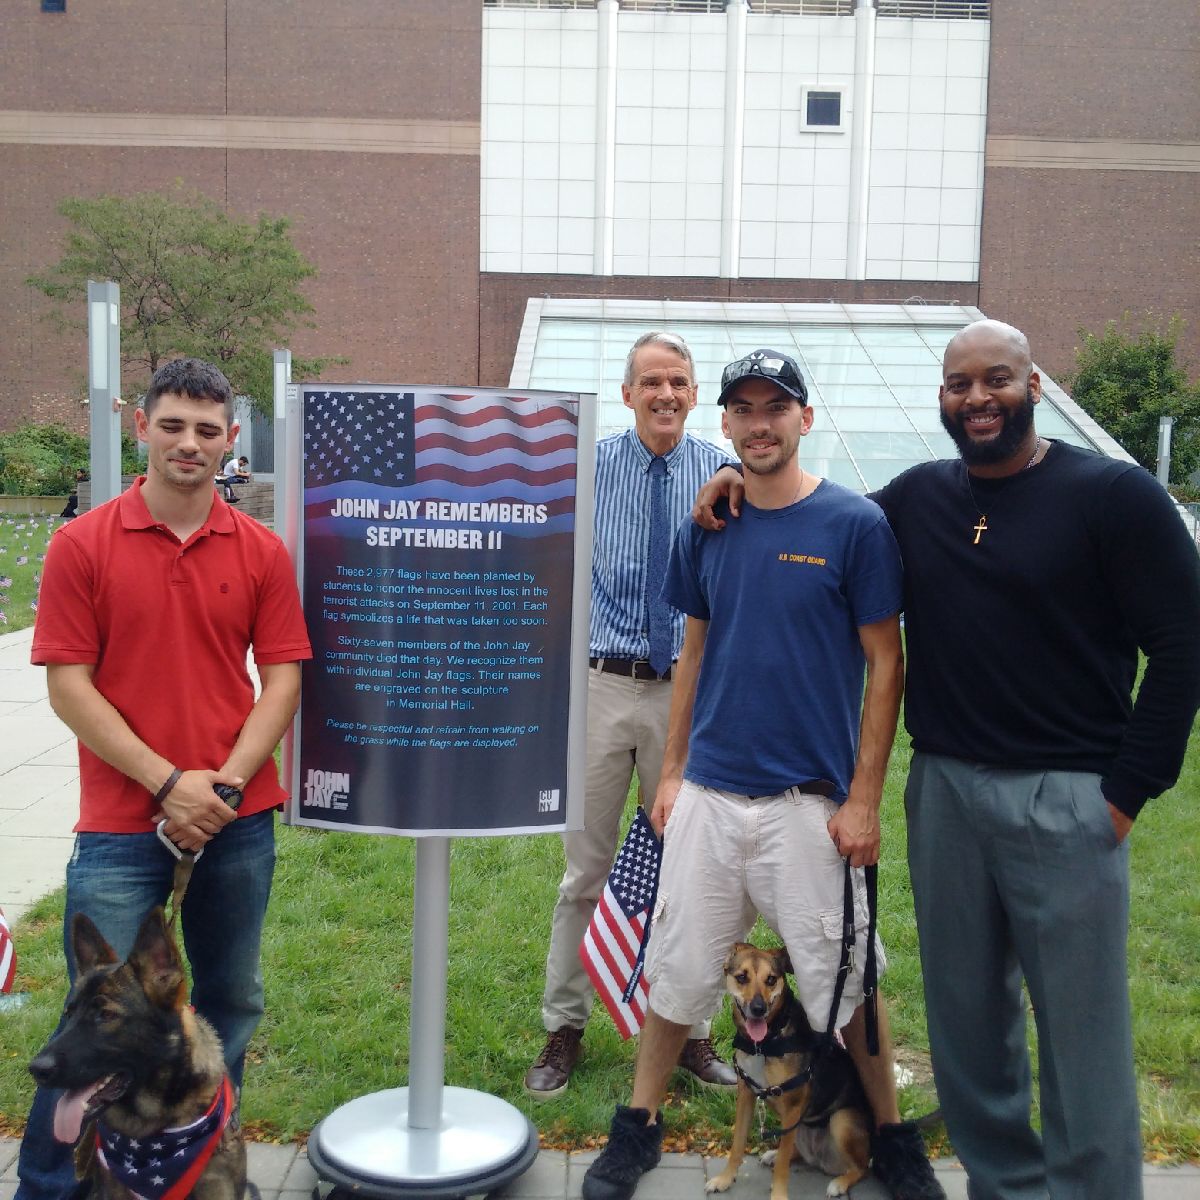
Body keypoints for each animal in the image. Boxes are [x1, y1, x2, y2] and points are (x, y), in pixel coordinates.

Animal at [700, 940, 873, 1200]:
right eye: (742, 977)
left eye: (771, 979)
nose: (758, 1008)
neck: (764, 1044)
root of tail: (822, 1160)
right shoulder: (747, 1094)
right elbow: (738, 1144)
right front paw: (725, 1179)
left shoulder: (792, 1105)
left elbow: (783, 1165)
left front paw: (779, 1194)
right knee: (793, 1150)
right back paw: (774, 1155)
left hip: (841, 1120)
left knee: (861, 1167)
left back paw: (840, 1183)